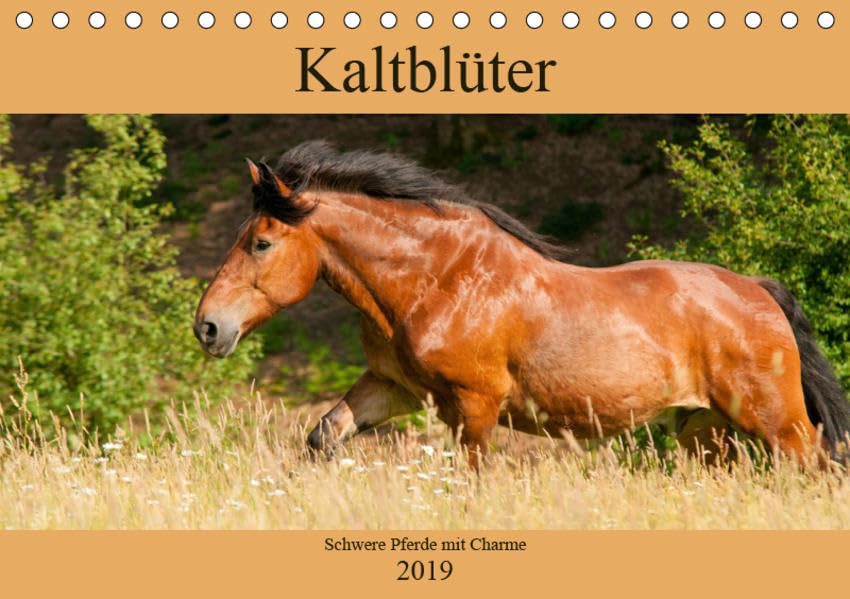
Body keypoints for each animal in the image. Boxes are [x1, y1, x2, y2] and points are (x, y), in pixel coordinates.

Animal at [194, 140, 850, 468]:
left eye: (260, 242)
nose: (208, 327)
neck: (437, 280)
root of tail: (757, 289)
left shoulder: (473, 406)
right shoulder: (394, 388)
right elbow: (324, 436)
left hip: (776, 423)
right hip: (707, 431)